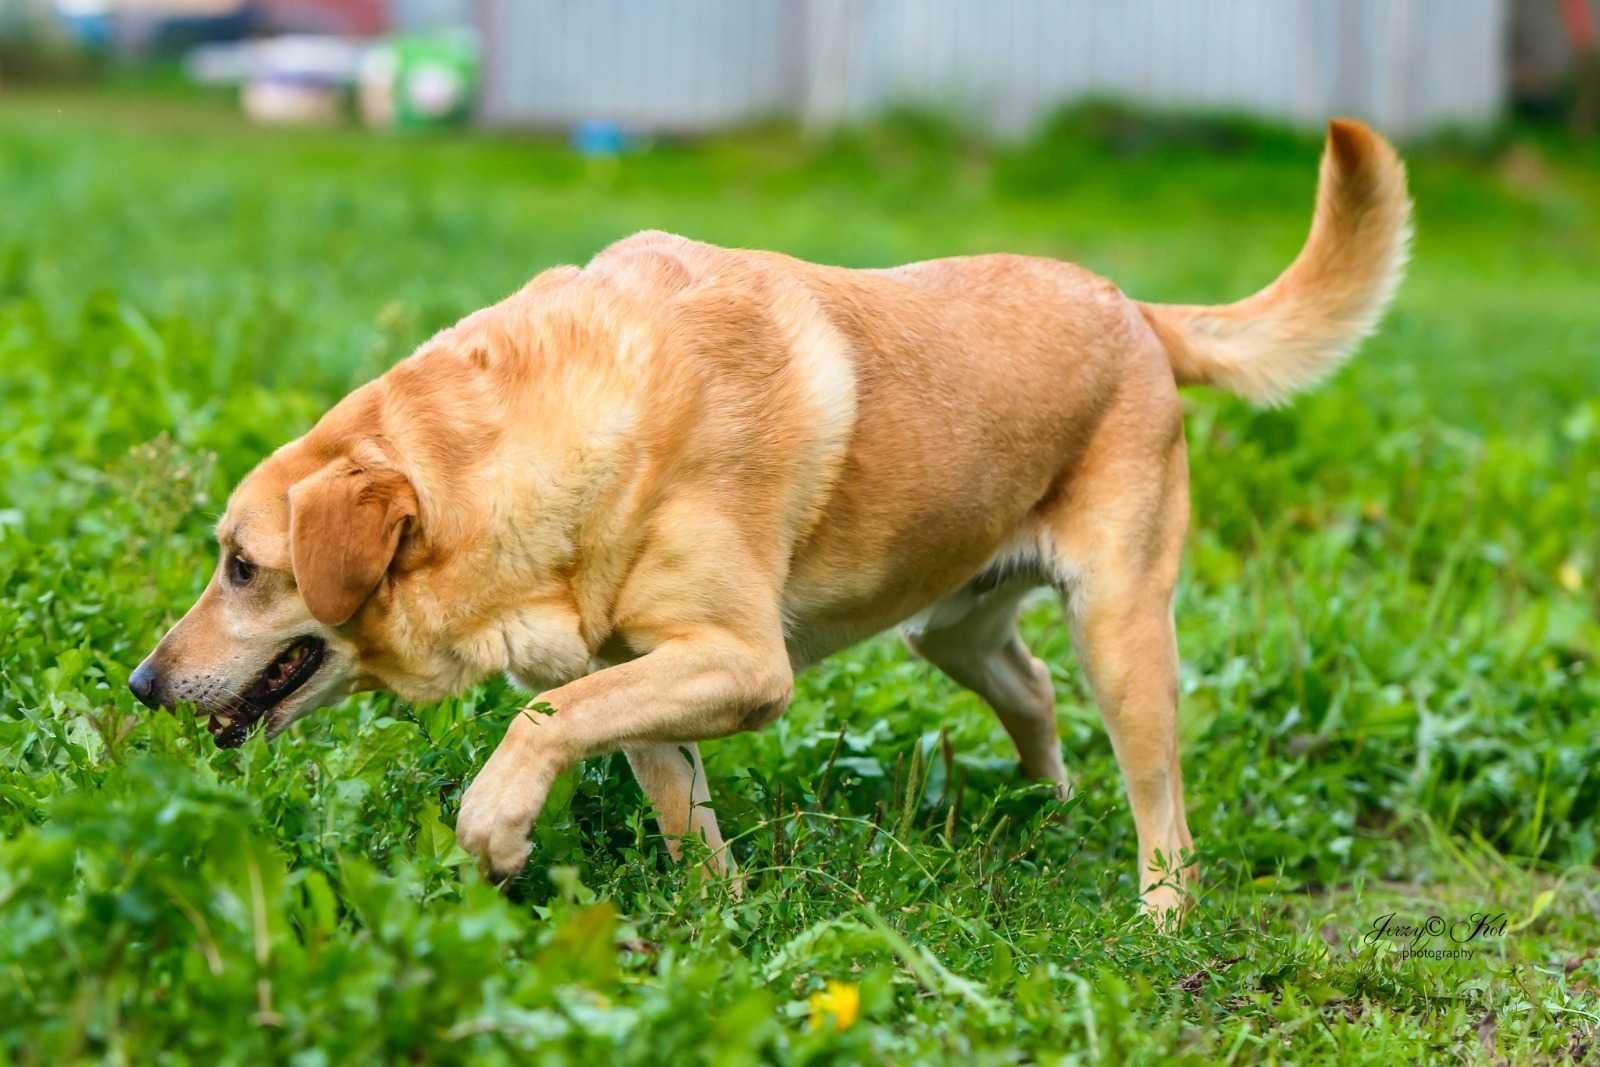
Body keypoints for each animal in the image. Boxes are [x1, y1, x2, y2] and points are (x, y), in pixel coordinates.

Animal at [137, 119, 1414, 921]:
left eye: (240, 565)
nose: (144, 684)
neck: (527, 444)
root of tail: (1133, 307)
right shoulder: (645, 671)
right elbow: (663, 795)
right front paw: (720, 925)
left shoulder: (743, 663)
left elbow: (541, 720)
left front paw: (495, 828)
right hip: (953, 628)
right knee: (1034, 690)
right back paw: (1043, 808)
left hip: (1122, 629)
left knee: (1163, 807)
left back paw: (1158, 916)